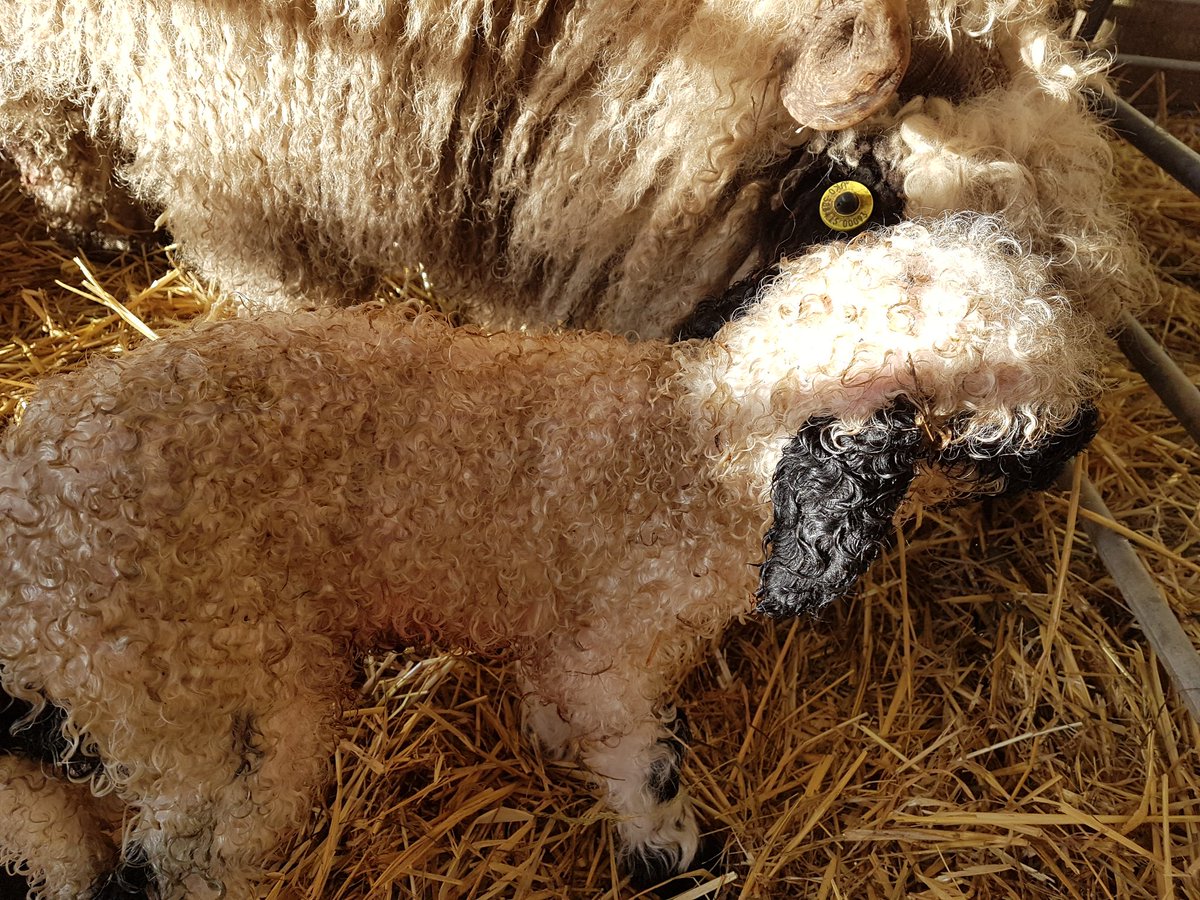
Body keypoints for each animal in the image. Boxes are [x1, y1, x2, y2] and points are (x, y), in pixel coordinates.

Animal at [0, 213, 1100, 898]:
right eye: (991, 409)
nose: (1088, 427)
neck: (696, 448)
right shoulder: (610, 650)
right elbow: (639, 756)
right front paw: (675, 851)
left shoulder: (562, 633)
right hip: (189, 702)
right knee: (177, 850)